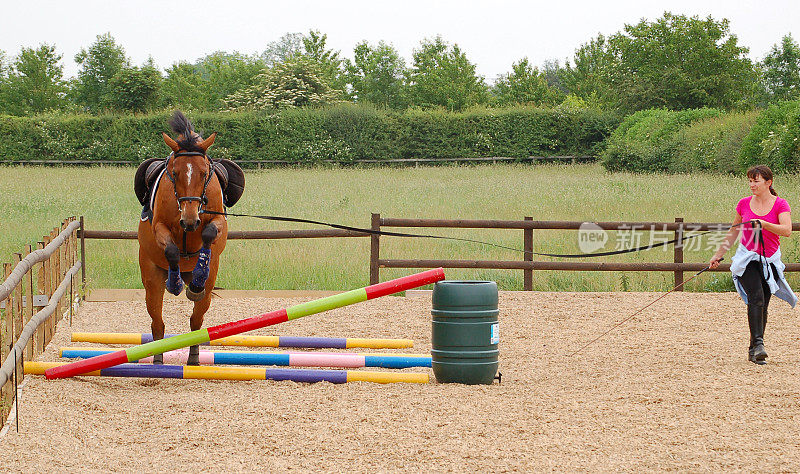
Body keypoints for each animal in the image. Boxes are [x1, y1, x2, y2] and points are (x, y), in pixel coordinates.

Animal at [138, 112, 228, 366]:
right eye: (175, 173)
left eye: (204, 173)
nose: (189, 220)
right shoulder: (159, 226)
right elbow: (171, 250)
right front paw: (175, 283)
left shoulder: (217, 221)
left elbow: (209, 234)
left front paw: (197, 277)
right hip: (152, 281)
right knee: (157, 322)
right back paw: (158, 358)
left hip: (208, 288)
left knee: (196, 321)